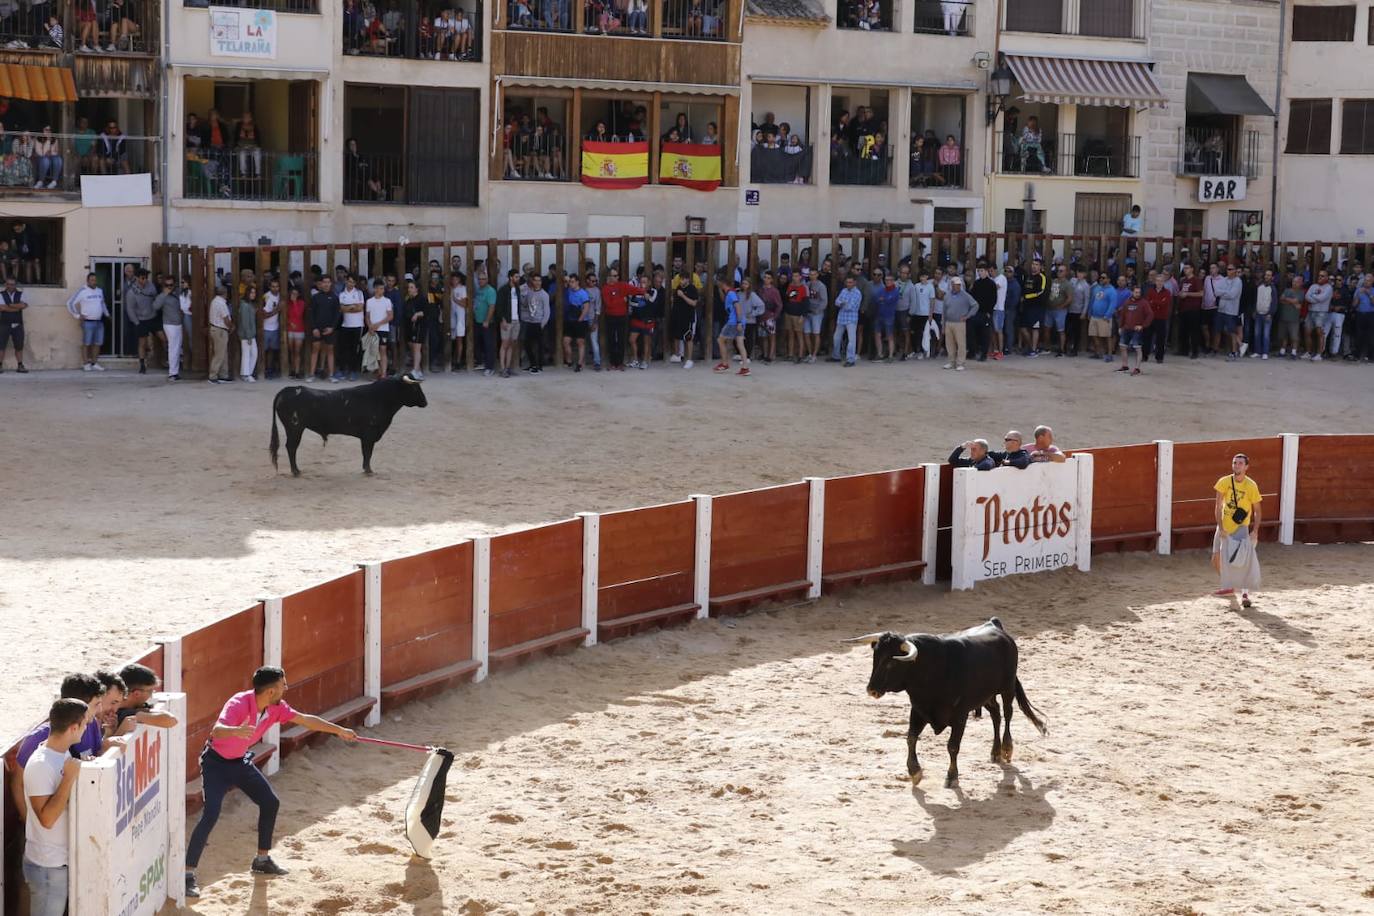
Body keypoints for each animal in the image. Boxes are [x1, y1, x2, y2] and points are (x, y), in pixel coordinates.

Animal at [270, 373, 425, 477]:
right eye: (415, 388)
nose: (425, 402)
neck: (381, 397)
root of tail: (286, 390)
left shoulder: (366, 437)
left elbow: (366, 453)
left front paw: (366, 469)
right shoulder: (369, 435)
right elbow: (368, 452)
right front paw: (369, 470)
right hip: (294, 428)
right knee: (291, 447)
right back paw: (296, 471)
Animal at [835, 623, 1049, 791]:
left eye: (891, 663)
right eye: (875, 658)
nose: (871, 690)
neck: (931, 671)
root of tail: (995, 625)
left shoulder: (960, 716)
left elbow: (952, 746)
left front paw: (952, 777)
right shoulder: (918, 710)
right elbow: (911, 738)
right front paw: (915, 772)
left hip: (1007, 687)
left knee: (1008, 713)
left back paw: (1006, 749)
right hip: (986, 695)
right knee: (996, 715)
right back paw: (995, 752)